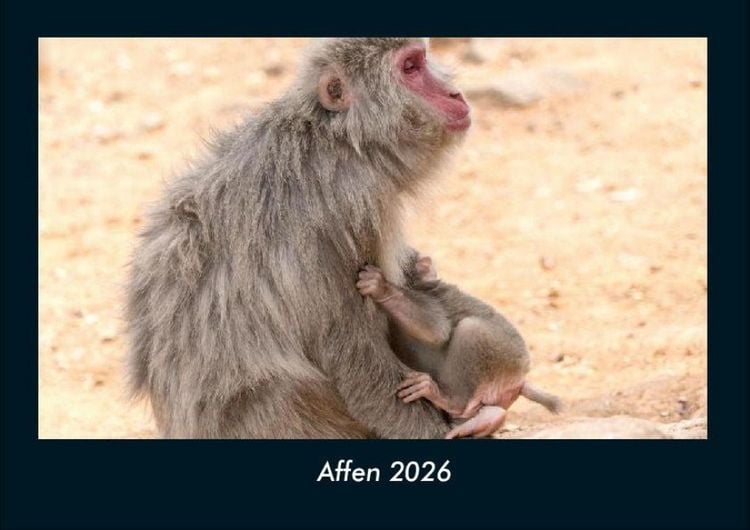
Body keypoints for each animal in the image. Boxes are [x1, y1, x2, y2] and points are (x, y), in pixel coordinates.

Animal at [124, 38, 472, 438]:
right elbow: (351, 354)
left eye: (422, 59)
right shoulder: (352, 206)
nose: (455, 93)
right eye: (411, 68)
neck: (340, 140)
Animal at [357, 255, 561, 439]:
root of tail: (520, 380)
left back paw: (448, 400)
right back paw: (487, 419)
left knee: (471, 330)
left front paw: (381, 288)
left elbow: (436, 329)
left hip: (506, 356)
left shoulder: (430, 296)